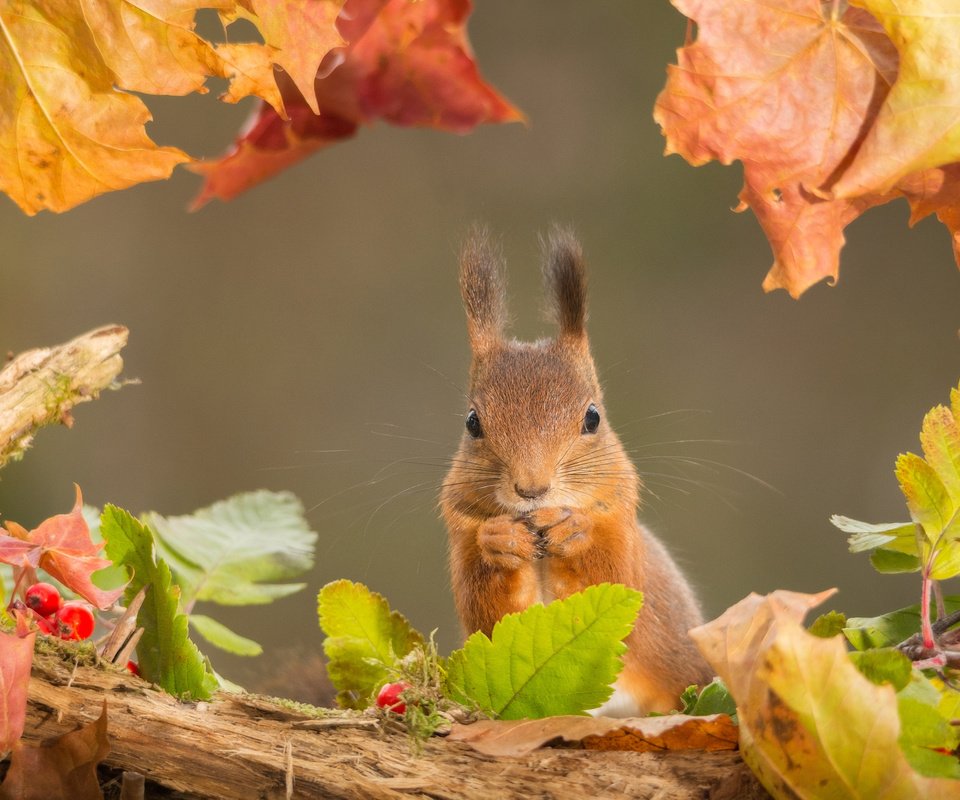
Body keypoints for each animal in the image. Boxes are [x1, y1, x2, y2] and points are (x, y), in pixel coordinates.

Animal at [442, 228, 712, 716]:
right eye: (472, 423)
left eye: (593, 417)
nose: (532, 488)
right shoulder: (462, 537)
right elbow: (491, 616)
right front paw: (499, 540)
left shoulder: (621, 529)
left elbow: (614, 579)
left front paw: (574, 529)